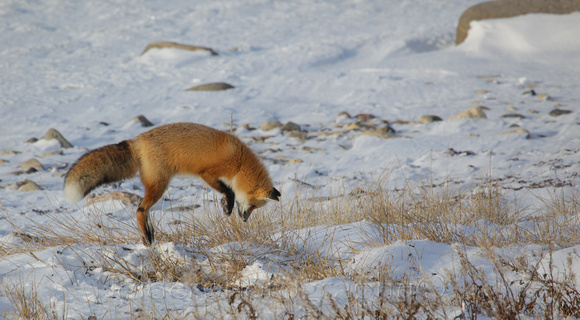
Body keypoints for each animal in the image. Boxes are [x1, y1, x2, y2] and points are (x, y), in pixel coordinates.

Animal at [64, 122, 280, 245]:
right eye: (253, 206)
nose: (244, 220)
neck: (240, 164)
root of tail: (137, 140)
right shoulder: (207, 173)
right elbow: (229, 191)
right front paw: (227, 206)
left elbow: (228, 192)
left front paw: (225, 205)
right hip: (160, 185)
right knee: (140, 209)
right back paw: (147, 237)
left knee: (144, 210)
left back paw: (149, 233)